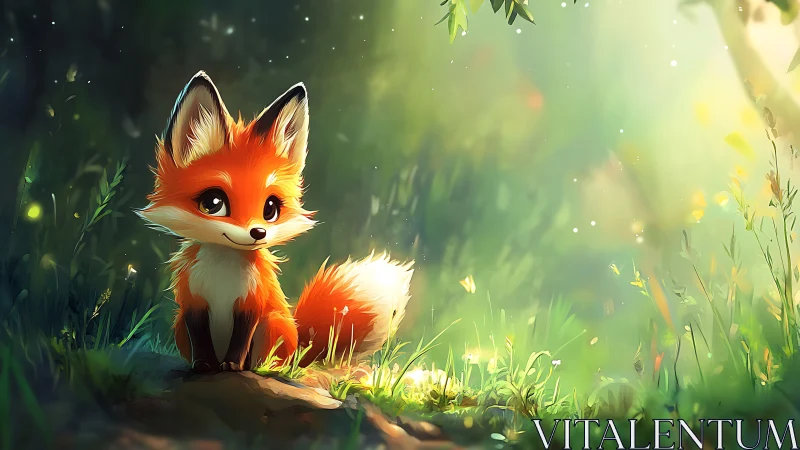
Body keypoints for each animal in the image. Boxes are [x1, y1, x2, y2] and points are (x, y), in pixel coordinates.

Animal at [137, 71, 414, 373]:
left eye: (270, 208)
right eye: (213, 203)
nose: (258, 232)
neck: (223, 272)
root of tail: (299, 350)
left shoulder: (252, 303)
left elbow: (240, 341)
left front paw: (233, 366)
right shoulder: (192, 303)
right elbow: (200, 339)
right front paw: (203, 365)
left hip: (273, 324)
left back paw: (260, 369)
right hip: (179, 326)